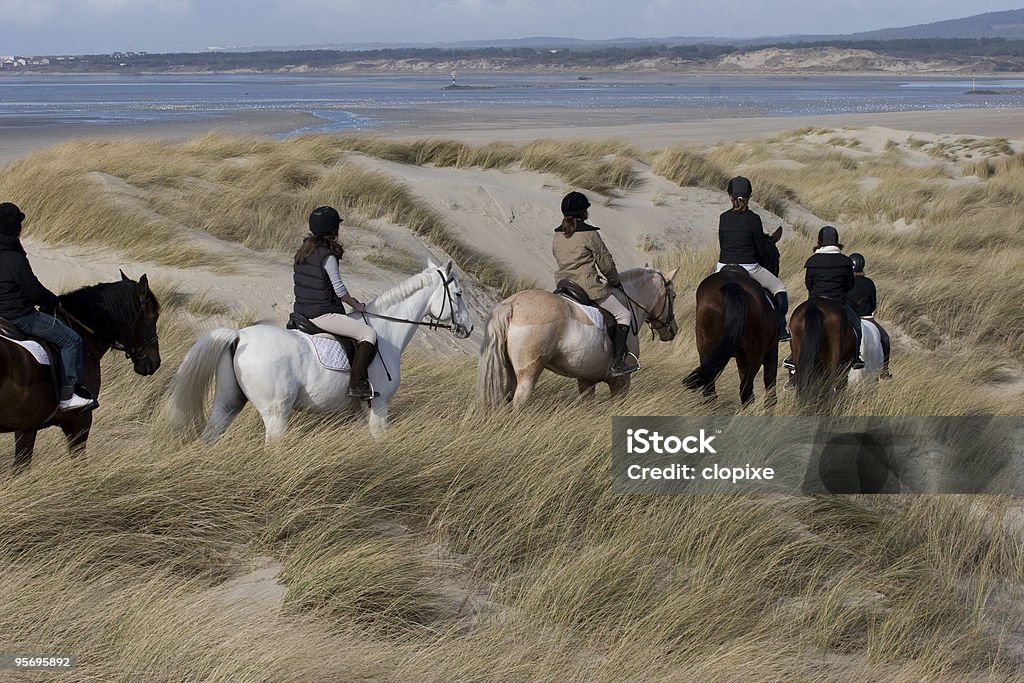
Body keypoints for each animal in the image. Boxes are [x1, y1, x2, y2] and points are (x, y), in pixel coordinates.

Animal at [167, 259, 471, 440]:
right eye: (458, 294)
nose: (467, 328)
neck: (386, 333)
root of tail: (239, 336)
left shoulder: (361, 409)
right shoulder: (379, 404)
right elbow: (379, 440)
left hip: (227, 402)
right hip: (276, 413)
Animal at [477, 266, 679, 409]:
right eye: (674, 296)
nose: (673, 330)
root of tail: (511, 305)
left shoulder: (586, 380)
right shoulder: (621, 382)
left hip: (512, 371)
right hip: (529, 372)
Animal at [679, 225, 782, 405]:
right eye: (777, 256)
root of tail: (732, 284)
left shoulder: (740, 356)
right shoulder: (771, 351)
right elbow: (770, 392)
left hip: (706, 349)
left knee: (710, 391)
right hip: (755, 354)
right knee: (746, 391)